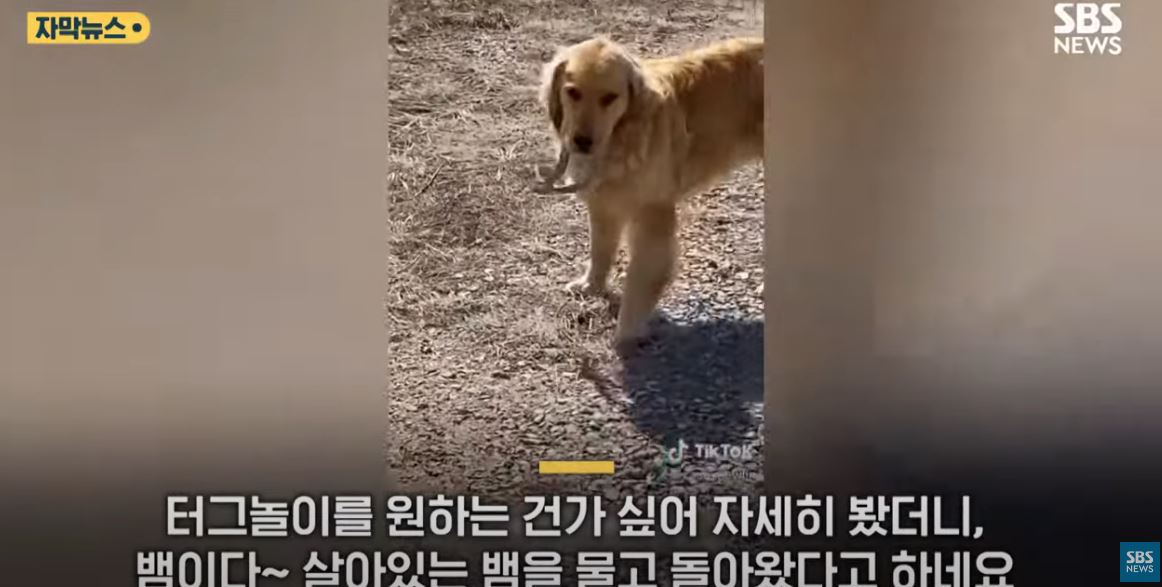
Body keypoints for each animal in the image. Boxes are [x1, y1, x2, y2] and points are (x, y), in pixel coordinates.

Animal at [536, 35, 763, 350]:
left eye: (610, 98)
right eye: (573, 92)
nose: (581, 141)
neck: (624, 137)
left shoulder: (652, 218)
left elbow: (638, 281)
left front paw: (626, 332)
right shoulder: (604, 204)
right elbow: (600, 251)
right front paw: (592, 285)